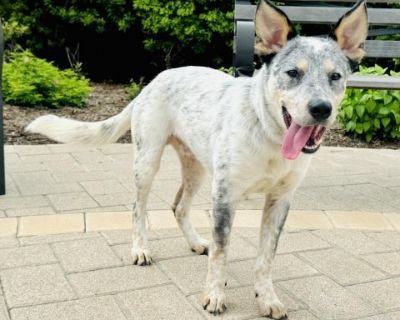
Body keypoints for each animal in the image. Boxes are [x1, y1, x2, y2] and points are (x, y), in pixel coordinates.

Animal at [25, 1, 368, 318]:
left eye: (335, 76)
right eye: (293, 73)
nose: (321, 109)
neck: (268, 133)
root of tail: (154, 80)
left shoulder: (280, 201)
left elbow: (265, 257)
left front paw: (267, 298)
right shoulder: (225, 197)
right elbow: (221, 252)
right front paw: (214, 295)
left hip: (197, 169)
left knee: (178, 207)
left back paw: (195, 242)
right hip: (147, 162)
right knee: (138, 208)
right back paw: (140, 249)